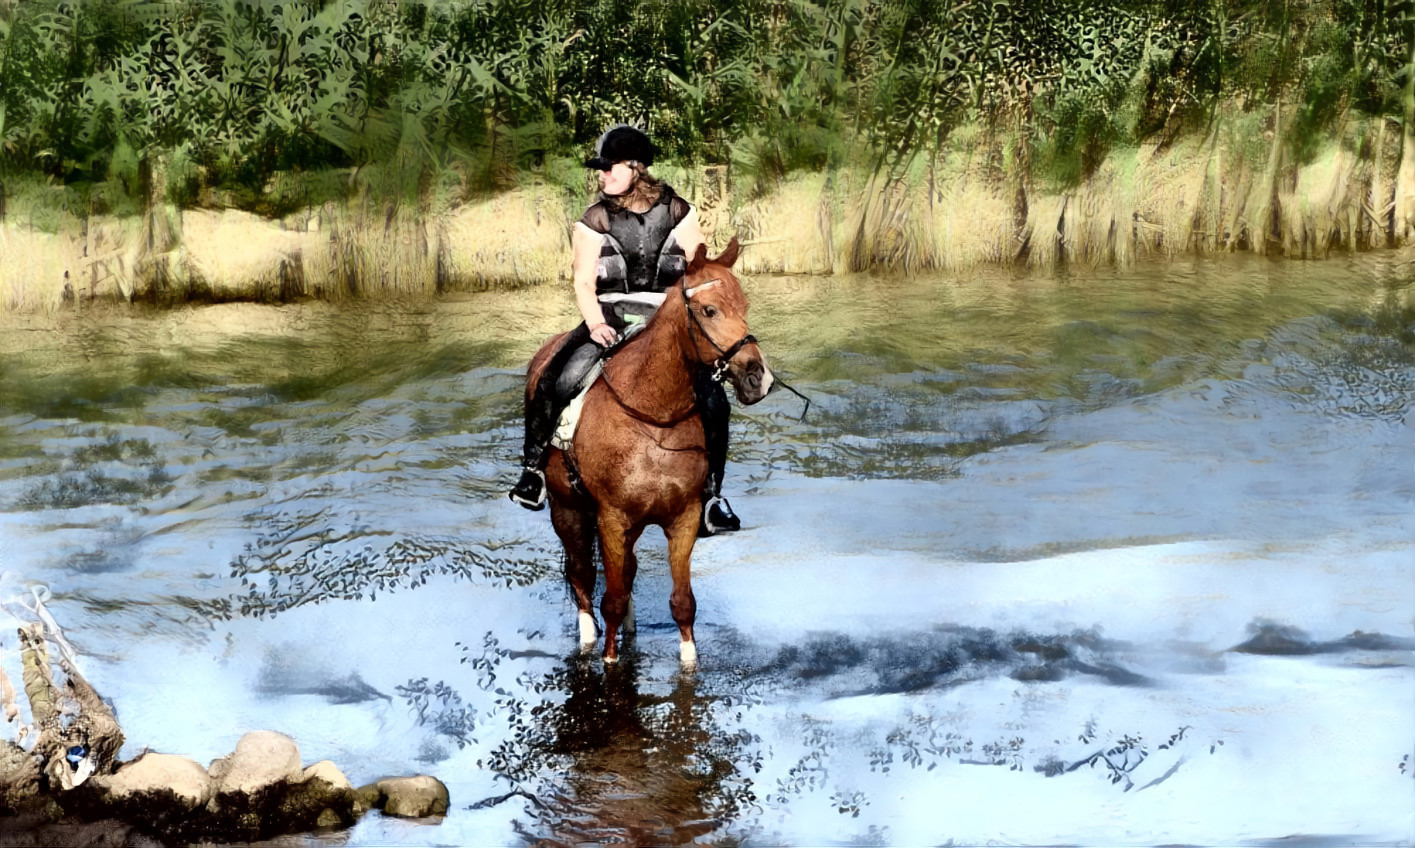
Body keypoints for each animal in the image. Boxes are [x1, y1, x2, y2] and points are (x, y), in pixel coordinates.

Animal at [526, 239, 775, 671]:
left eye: (744, 305)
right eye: (709, 310)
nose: (758, 377)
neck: (653, 412)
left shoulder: (683, 518)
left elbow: (682, 602)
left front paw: (689, 663)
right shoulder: (611, 518)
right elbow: (609, 599)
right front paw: (609, 661)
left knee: (625, 572)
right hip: (566, 509)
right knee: (582, 576)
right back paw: (588, 637)